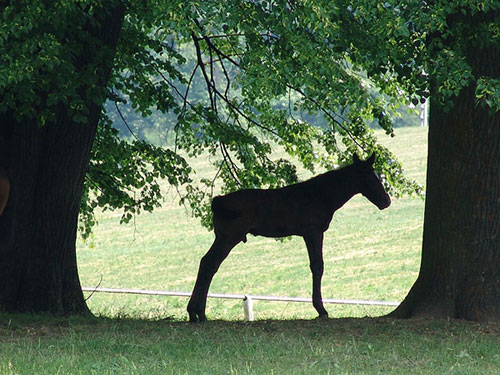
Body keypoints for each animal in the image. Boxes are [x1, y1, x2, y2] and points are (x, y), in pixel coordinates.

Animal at [188, 153, 390, 324]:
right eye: (370, 177)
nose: (386, 201)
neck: (320, 194)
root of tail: (218, 201)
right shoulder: (313, 232)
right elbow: (318, 266)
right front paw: (321, 310)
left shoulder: (309, 234)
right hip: (228, 238)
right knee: (209, 264)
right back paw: (198, 312)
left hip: (223, 238)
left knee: (206, 263)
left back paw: (196, 312)